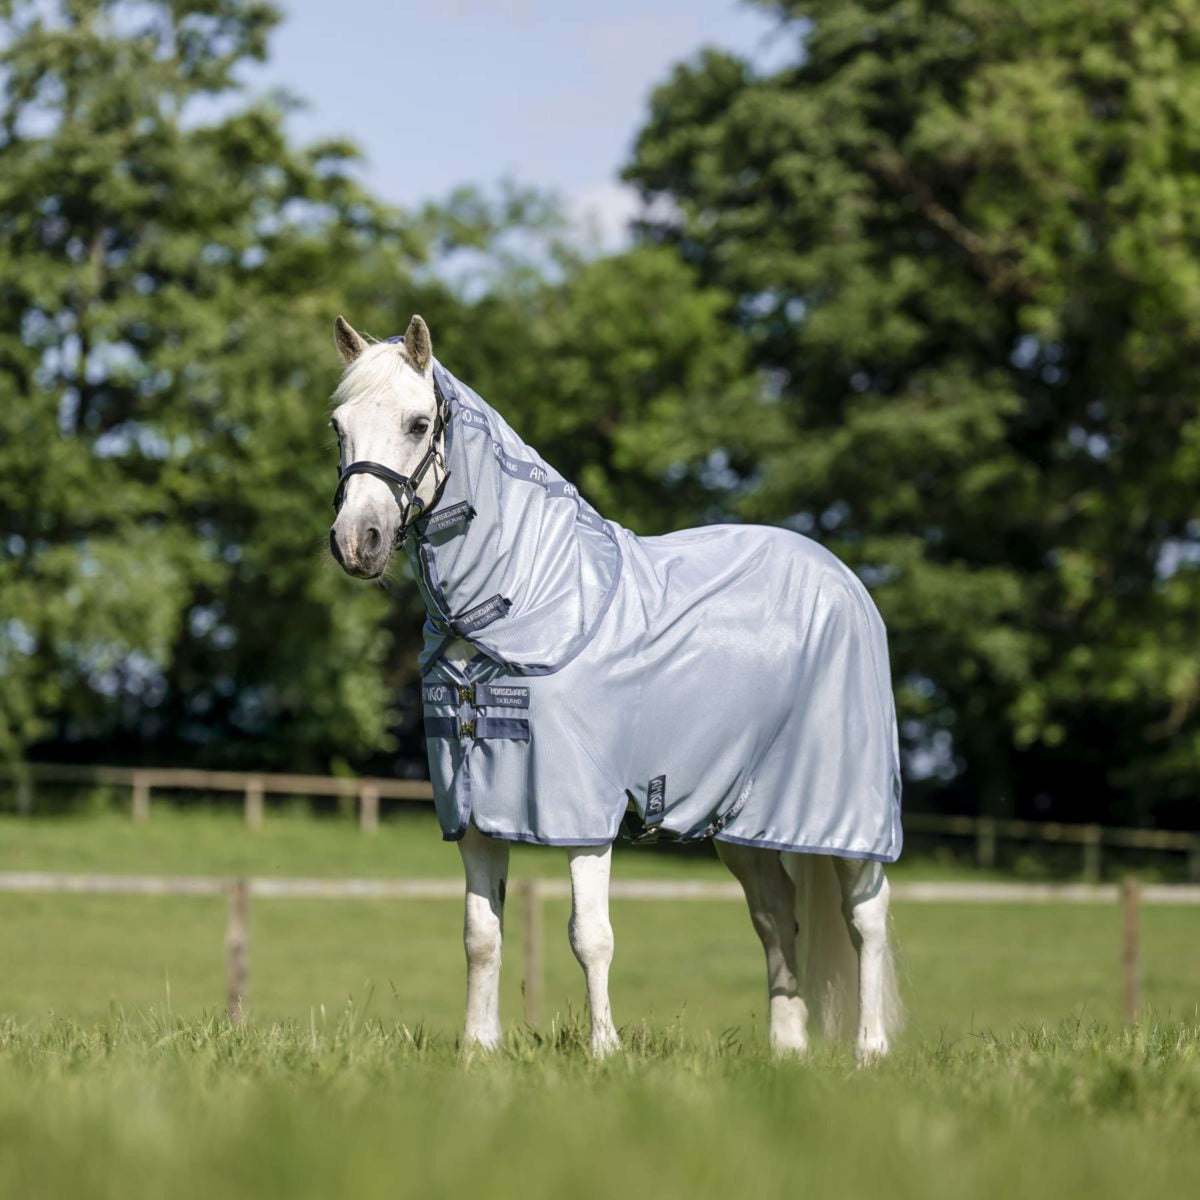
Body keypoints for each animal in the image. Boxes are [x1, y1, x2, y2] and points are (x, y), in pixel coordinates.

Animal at [326, 313, 904, 1061]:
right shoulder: (474, 810)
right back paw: (786, 1051)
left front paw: (605, 1050)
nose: (356, 542)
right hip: (744, 821)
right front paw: (478, 1050)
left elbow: (589, 936)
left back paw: (870, 1050)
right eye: (339, 425)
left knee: (866, 916)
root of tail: (845, 580)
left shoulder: (581, 813)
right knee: (776, 916)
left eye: (419, 423)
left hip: (847, 813)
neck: (533, 600)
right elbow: (481, 937)